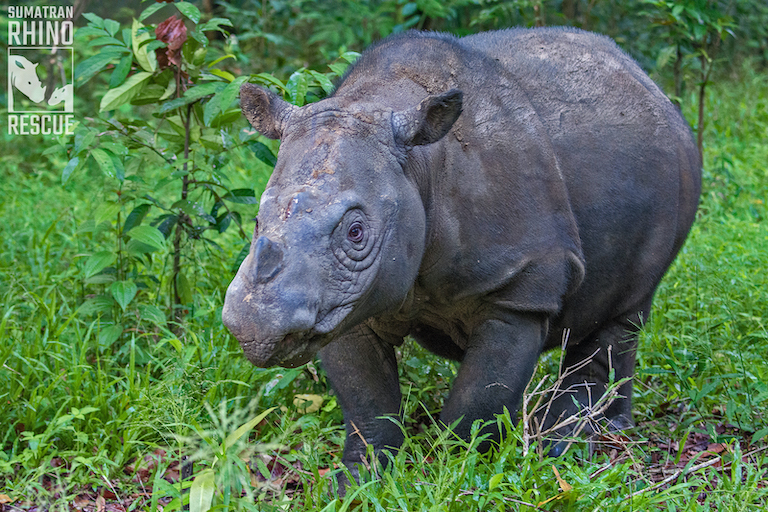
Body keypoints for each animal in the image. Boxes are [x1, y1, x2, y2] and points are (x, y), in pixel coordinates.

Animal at [222, 28, 704, 474]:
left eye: (356, 232)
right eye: (258, 221)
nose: (256, 328)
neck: (417, 168)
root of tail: (647, 81)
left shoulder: (521, 284)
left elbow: (477, 400)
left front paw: (453, 469)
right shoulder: (342, 303)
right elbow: (366, 403)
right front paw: (361, 478)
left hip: (673, 173)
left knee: (623, 314)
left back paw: (565, 446)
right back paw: (604, 431)